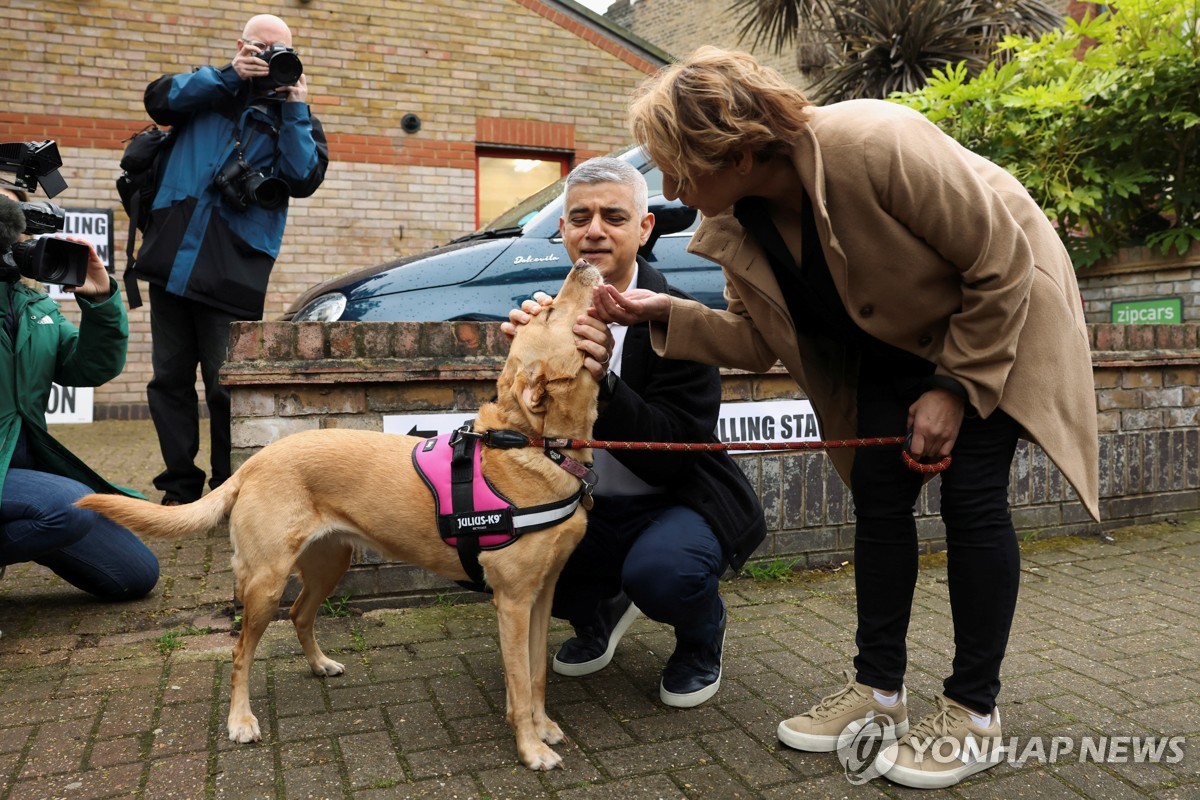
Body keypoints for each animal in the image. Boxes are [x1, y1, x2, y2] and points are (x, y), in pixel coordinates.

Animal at [77, 261, 600, 767]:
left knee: (300, 615)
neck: (533, 447)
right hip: (265, 583)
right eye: (550, 313)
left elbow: (536, 674)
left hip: (329, 564)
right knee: (241, 650)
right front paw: (531, 749)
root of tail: (254, 462)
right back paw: (240, 720)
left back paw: (319, 664)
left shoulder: (542, 594)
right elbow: (519, 683)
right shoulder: (512, 601)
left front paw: (544, 727)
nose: (583, 263)